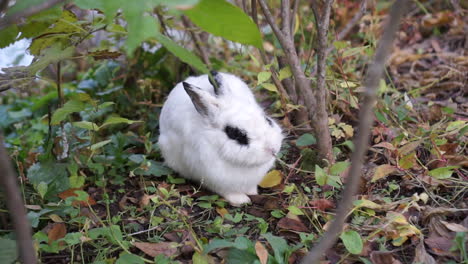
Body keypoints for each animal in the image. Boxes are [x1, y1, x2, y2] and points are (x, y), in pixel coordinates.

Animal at [157, 71, 284, 206]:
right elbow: (228, 192)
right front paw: (241, 201)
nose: (272, 149)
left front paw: (253, 193)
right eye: (235, 133)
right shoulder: (215, 180)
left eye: (267, 119)